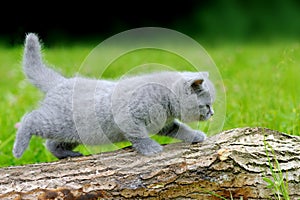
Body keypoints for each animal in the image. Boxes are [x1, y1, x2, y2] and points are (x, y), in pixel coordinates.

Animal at [12, 33, 214, 159]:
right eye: (206, 105)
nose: (212, 114)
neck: (165, 100)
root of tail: (61, 82)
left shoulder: (164, 124)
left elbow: (179, 128)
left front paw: (195, 135)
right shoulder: (128, 117)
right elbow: (139, 136)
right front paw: (150, 149)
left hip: (78, 133)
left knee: (51, 144)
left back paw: (68, 155)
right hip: (58, 123)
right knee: (30, 119)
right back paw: (19, 149)